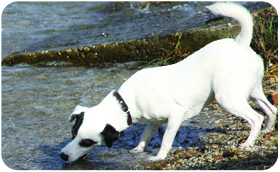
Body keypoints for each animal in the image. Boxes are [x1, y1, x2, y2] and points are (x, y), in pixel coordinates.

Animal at [60, 2, 276, 162]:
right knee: (271, 109)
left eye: (87, 142)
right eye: (72, 133)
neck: (126, 103)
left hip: (227, 99)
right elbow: (145, 134)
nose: (62, 156)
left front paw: (159, 157)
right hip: (252, 92)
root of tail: (240, 43)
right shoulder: (154, 120)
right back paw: (267, 129)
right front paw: (138, 149)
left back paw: (249, 143)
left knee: (256, 117)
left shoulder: (175, 115)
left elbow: (165, 140)